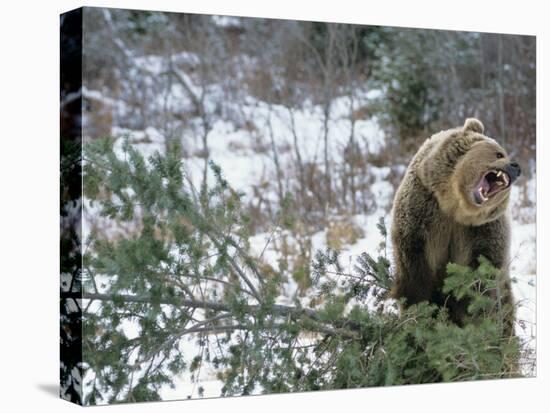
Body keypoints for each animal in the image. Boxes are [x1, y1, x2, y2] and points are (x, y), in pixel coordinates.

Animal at [392, 116, 520, 334]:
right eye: (499, 153)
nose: (516, 167)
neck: (454, 206)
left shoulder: (482, 231)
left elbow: (480, 280)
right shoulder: (422, 214)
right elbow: (415, 274)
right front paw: (419, 315)